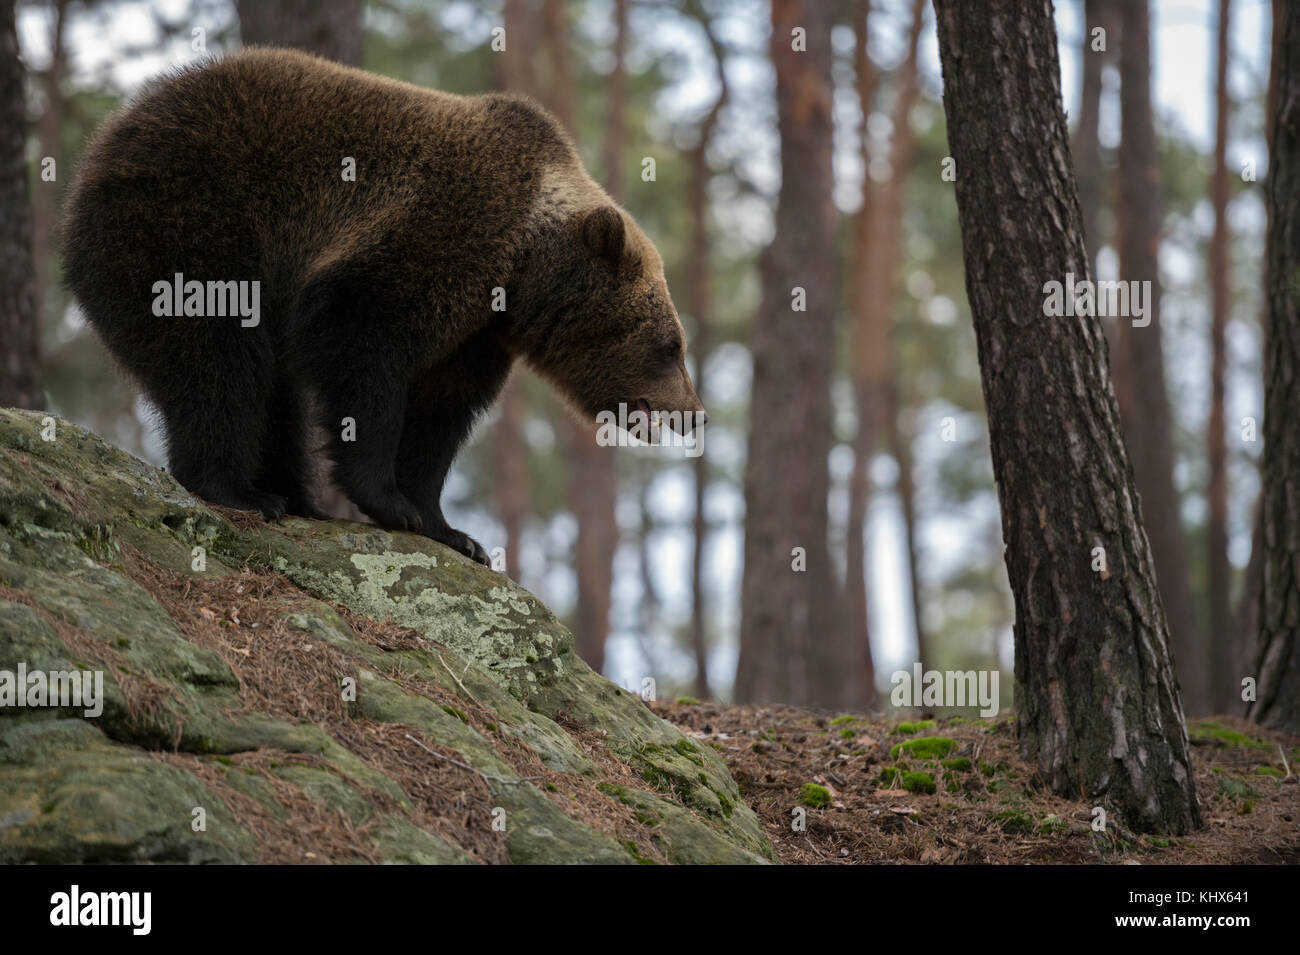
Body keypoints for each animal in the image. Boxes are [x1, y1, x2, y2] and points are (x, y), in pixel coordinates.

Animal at [63, 46, 702, 566]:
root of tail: (103, 141)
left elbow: (438, 414)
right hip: (194, 223)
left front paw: (452, 531)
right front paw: (390, 502)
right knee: (216, 359)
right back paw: (240, 491)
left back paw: (296, 496)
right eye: (671, 346)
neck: (521, 268)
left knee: (270, 391)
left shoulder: (475, 333)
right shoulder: (432, 242)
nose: (693, 413)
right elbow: (365, 353)